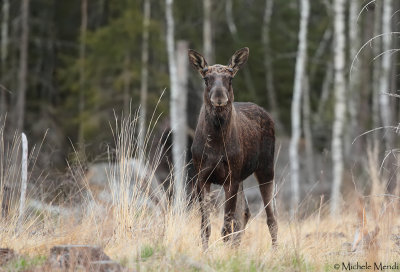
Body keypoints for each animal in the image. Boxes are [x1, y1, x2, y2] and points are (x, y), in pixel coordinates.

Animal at [188, 47, 276, 249]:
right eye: (206, 78)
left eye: (230, 78)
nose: (219, 97)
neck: (216, 142)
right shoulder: (202, 177)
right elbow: (205, 227)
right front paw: (206, 252)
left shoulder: (231, 179)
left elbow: (226, 228)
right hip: (242, 176)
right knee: (245, 212)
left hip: (266, 169)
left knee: (271, 217)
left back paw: (276, 250)